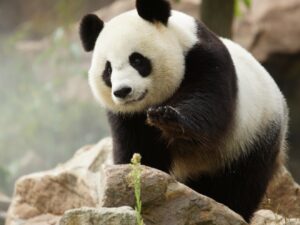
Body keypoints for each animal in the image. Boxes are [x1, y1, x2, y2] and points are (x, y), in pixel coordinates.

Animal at [79, 0, 288, 221]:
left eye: (136, 60)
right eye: (108, 69)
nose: (122, 91)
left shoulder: (206, 60)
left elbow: (206, 104)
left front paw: (167, 118)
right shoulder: (126, 117)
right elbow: (138, 149)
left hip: (253, 136)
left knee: (242, 182)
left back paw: (233, 209)